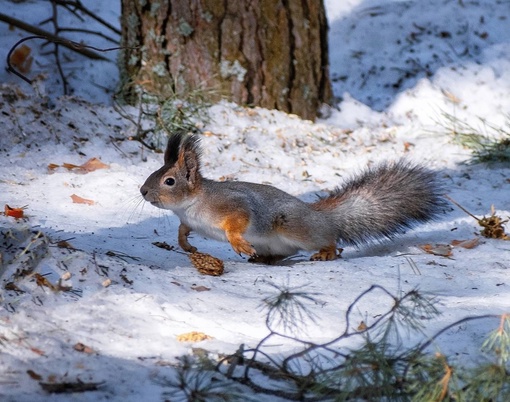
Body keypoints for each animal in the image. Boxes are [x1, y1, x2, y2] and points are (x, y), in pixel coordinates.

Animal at [139, 133, 446, 264]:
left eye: (169, 181)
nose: (143, 191)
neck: (190, 205)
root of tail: (319, 215)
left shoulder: (233, 205)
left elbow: (237, 222)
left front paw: (237, 242)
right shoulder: (188, 220)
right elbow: (182, 230)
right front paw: (185, 245)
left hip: (295, 226)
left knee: (330, 239)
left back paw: (326, 252)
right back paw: (263, 260)